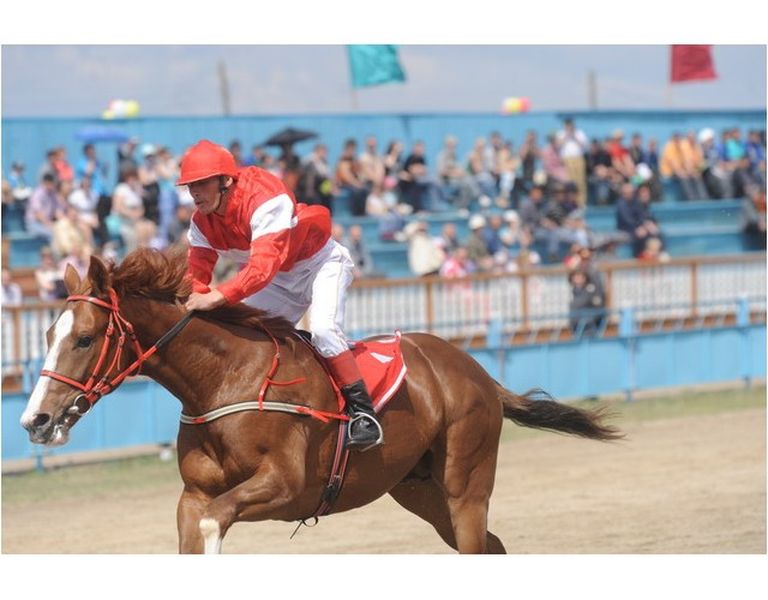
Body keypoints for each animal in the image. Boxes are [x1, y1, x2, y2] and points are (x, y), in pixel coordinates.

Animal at [19, 248, 616, 552]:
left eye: (85, 338)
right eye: (47, 332)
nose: (35, 420)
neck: (225, 380)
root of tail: (478, 373)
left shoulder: (282, 486)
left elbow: (214, 524)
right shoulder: (192, 497)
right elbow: (196, 527)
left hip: (465, 487)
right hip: (419, 491)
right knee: (491, 546)